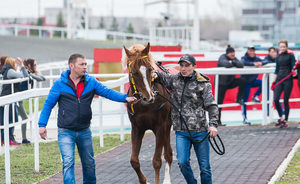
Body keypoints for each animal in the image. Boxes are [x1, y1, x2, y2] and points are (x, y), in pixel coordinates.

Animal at [123, 42, 172, 183]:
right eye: (134, 72)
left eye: (150, 69)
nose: (148, 97)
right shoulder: (137, 128)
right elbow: (134, 161)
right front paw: (144, 180)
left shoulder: (160, 126)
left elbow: (157, 161)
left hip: (167, 126)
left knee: (168, 154)